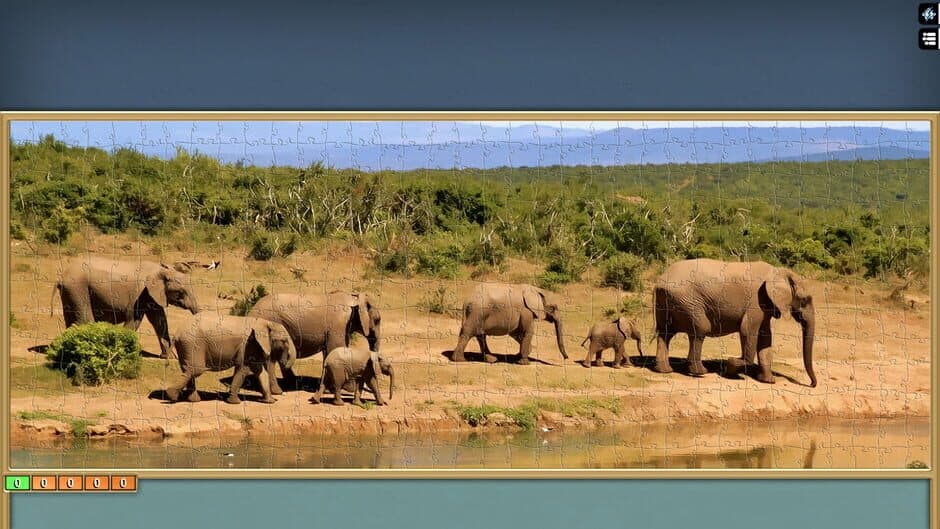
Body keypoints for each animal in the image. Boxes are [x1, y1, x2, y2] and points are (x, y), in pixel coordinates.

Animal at [52, 257, 200, 358]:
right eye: (181, 292)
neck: (160, 270)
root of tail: (60, 277)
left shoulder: (152, 295)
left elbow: (160, 321)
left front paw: (168, 357)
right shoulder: (139, 294)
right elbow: (134, 320)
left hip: (70, 291)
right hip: (77, 288)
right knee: (85, 319)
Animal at [165, 313, 297, 404]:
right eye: (284, 341)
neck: (265, 323)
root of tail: (177, 334)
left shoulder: (254, 346)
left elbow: (260, 372)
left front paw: (270, 402)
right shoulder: (248, 345)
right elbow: (243, 369)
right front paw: (235, 402)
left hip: (186, 347)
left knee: (188, 370)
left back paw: (193, 400)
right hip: (193, 345)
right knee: (195, 370)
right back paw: (171, 396)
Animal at [247, 291, 381, 390]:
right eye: (378, 320)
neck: (355, 298)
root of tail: (251, 310)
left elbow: (329, 352)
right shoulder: (338, 326)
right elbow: (336, 349)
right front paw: (347, 389)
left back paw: (292, 383)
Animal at [651, 259, 816, 387]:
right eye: (804, 300)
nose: (812, 384)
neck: (780, 272)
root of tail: (659, 281)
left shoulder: (766, 304)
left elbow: (765, 338)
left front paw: (768, 381)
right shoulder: (756, 301)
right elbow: (747, 331)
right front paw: (731, 366)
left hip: (668, 302)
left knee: (666, 333)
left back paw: (665, 370)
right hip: (688, 301)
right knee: (700, 329)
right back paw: (700, 372)